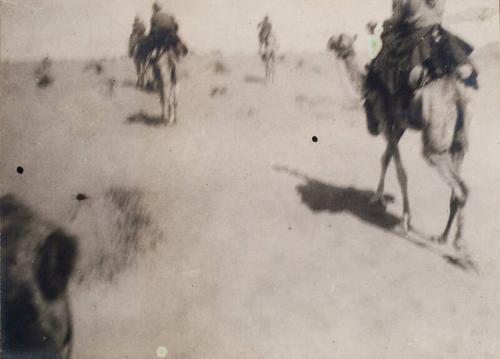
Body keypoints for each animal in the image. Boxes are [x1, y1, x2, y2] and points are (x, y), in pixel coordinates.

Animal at [326, 33, 474, 253]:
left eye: (340, 40)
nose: (330, 43)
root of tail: (457, 96)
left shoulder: (386, 122)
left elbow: (399, 171)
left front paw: (404, 219)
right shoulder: (399, 125)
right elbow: (386, 158)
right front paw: (377, 198)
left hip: (434, 143)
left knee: (459, 187)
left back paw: (458, 244)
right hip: (460, 141)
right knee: (458, 188)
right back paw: (443, 237)